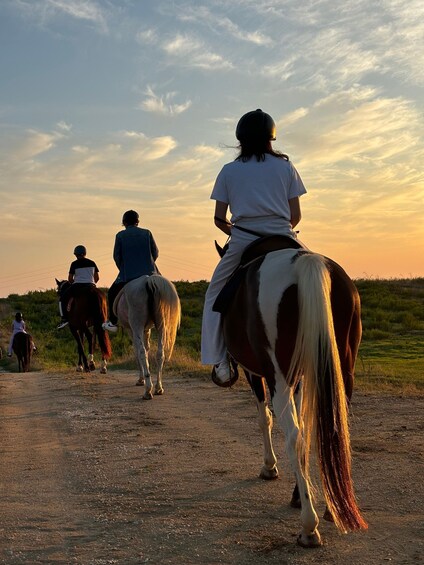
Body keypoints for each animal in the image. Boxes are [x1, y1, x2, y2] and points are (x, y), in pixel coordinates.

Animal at [220, 248, 366, 548]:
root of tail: (304, 262)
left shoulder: (257, 374)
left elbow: (264, 419)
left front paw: (269, 467)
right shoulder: (299, 378)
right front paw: (299, 492)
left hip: (278, 375)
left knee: (294, 438)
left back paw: (309, 527)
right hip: (341, 370)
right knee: (330, 434)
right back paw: (332, 507)